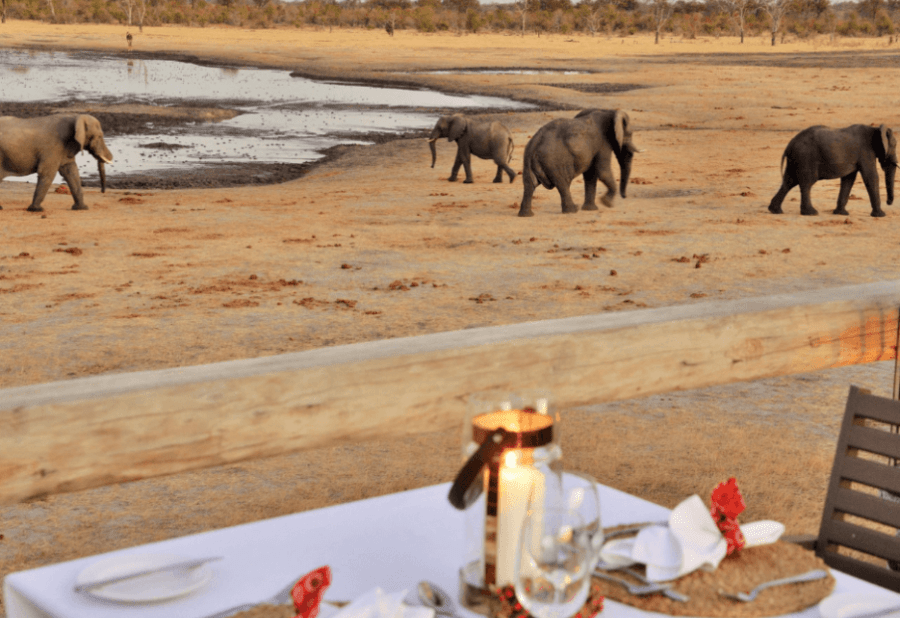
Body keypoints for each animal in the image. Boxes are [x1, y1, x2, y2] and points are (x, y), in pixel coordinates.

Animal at [768, 124, 897, 217]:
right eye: (894, 146)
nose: (889, 202)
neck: (875, 129)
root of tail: (789, 144)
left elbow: (849, 179)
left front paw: (841, 214)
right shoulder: (866, 152)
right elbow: (871, 177)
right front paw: (881, 215)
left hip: (795, 159)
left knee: (789, 182)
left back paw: (775, 210)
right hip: (805, 157)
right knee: (806, 183)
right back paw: (811, 213)